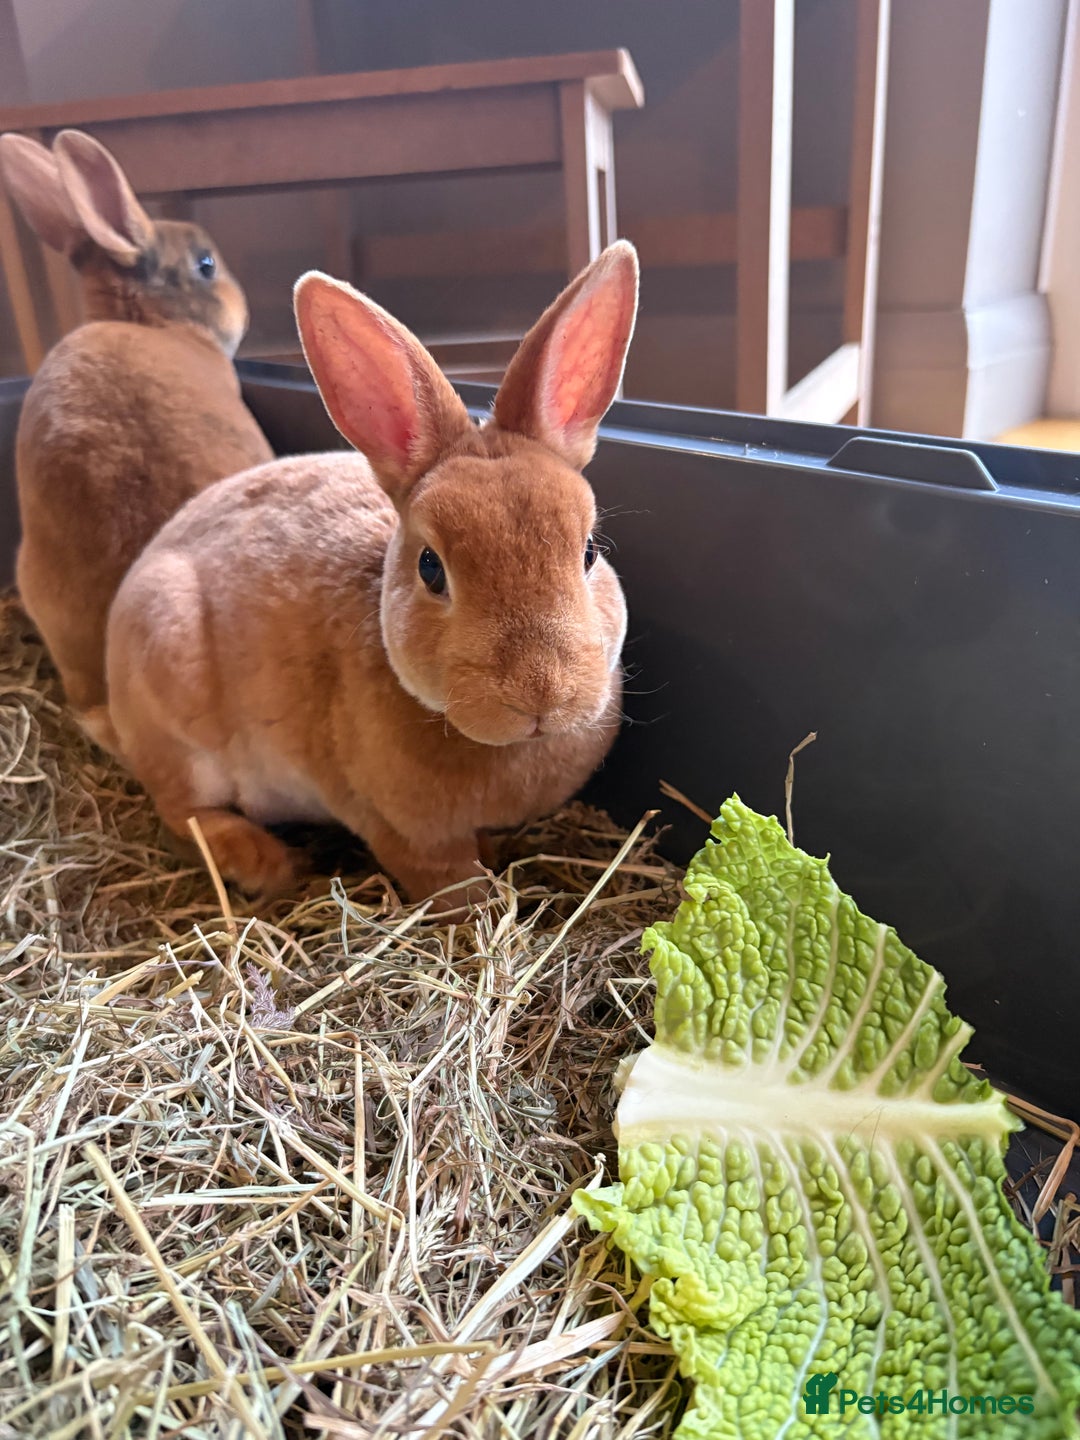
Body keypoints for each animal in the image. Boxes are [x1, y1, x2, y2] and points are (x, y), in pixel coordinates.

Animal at [104, 240, 639, 906]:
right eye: (431, 568)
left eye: (589, 550)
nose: (541, 692)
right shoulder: (407, 837)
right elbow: (454, 886)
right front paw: (485, 902)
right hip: (178, 706)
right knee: (185, 812)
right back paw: (266, 864)